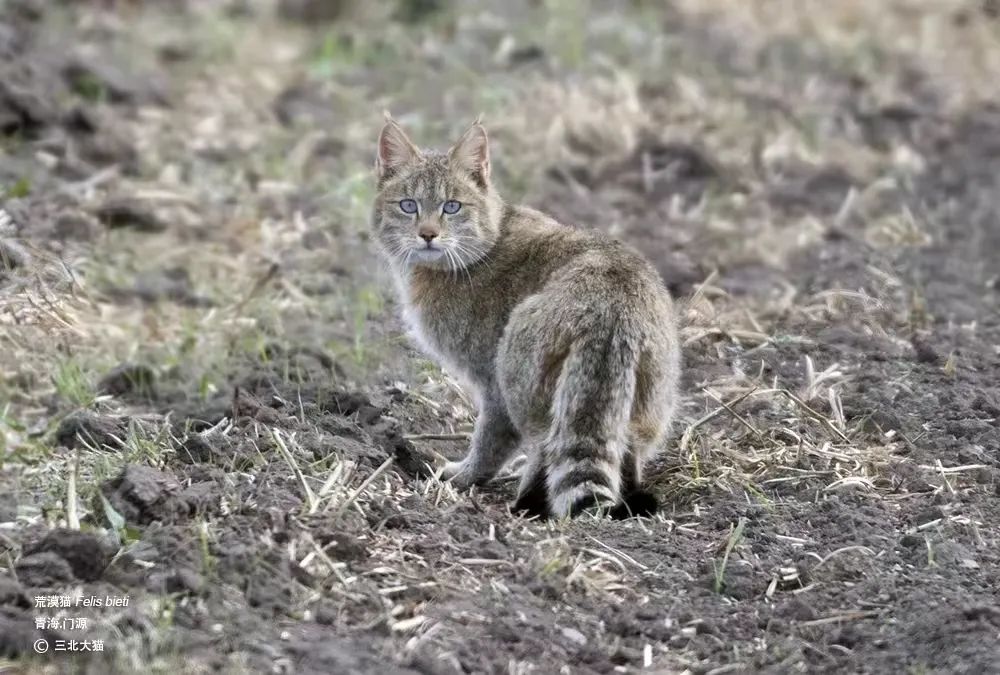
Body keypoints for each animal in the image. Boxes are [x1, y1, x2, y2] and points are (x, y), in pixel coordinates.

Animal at [372, 115, 684, 516]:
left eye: (452, 207)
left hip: (520, 377)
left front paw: (462, 477)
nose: (427, 234)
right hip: (649, 403)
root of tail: (610, 312)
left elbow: (490, 441)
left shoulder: (492, 385)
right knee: (624, 451)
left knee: (544, 444)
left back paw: (526, 502)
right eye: (408, 205)